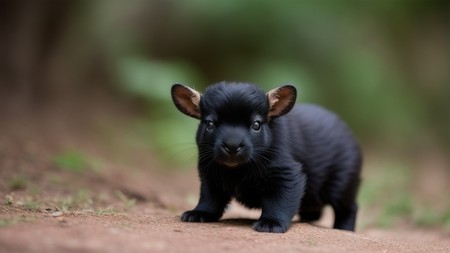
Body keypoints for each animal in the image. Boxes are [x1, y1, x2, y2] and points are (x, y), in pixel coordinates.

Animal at [171, 82, 360, 232]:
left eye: (256, 125)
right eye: (210, 124)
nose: (232, 146)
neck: (238, 170)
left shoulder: (288, 176)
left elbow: (280, 202)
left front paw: (271, 222)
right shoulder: (209, 174)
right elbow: (209, 198)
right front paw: (200, 212)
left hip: (341, 187)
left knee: (349, 208)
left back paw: (344, 228)